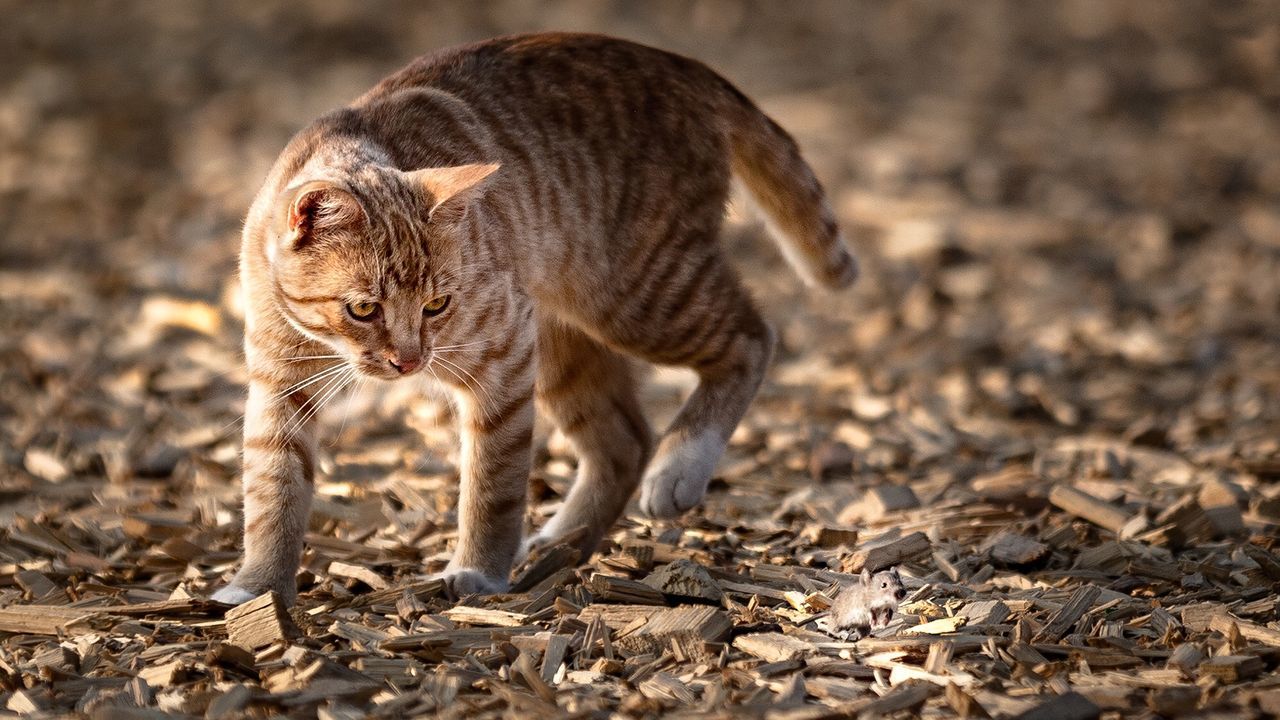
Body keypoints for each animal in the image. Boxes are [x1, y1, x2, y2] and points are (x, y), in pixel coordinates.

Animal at [212, 35, 860, 604]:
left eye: (436, 305)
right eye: (363, 308)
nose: (409, 361)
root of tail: (684, 64)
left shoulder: (500, 360)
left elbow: (493, 484)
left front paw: (478, 570)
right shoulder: (279, 384)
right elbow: (272, 489)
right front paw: (257, 588)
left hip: (638, 296)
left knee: (751, 338)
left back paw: (680, 466)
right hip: (565, 343)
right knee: (625, 439)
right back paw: (561, 546)